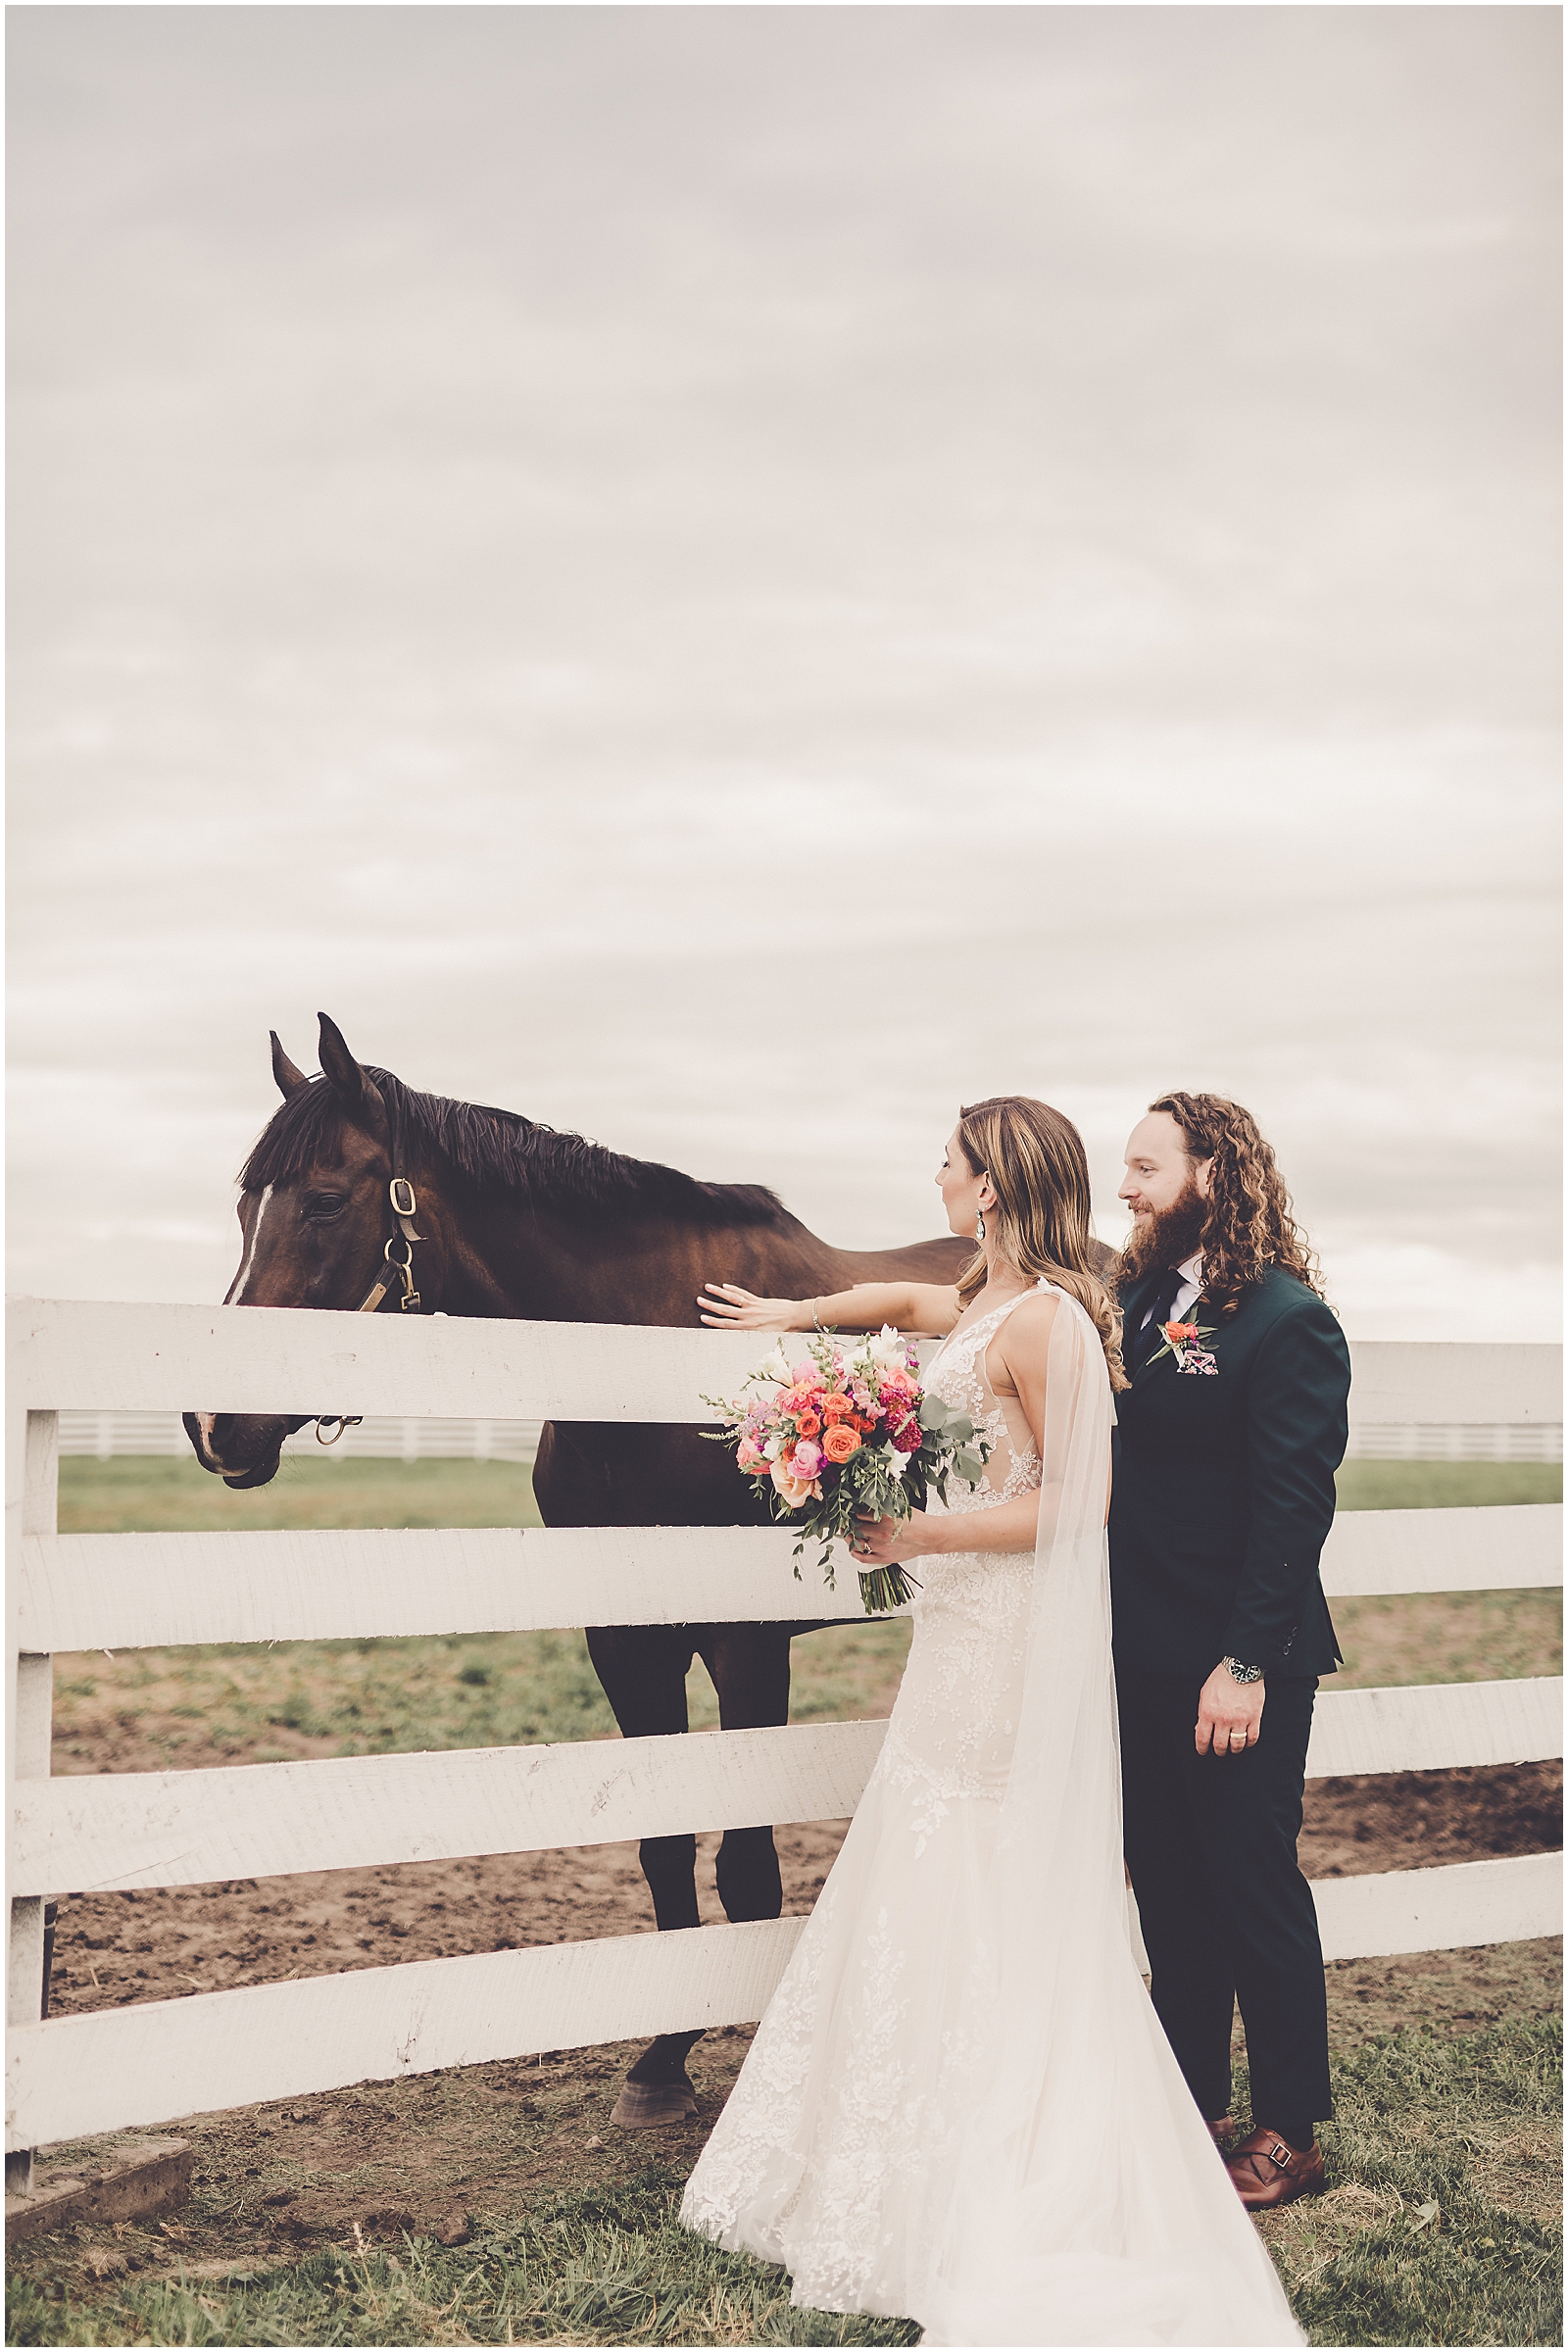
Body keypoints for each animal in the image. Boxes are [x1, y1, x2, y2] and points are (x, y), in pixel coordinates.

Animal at [184, 1020, 968, 2126]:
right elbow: (665, 1847)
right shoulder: (625, 1639)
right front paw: (662, 2062)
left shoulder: (746, 1642)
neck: (646, 1362)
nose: (213, 1423)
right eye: (245, 1205)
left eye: (325, 1199)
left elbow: (749, 1864)